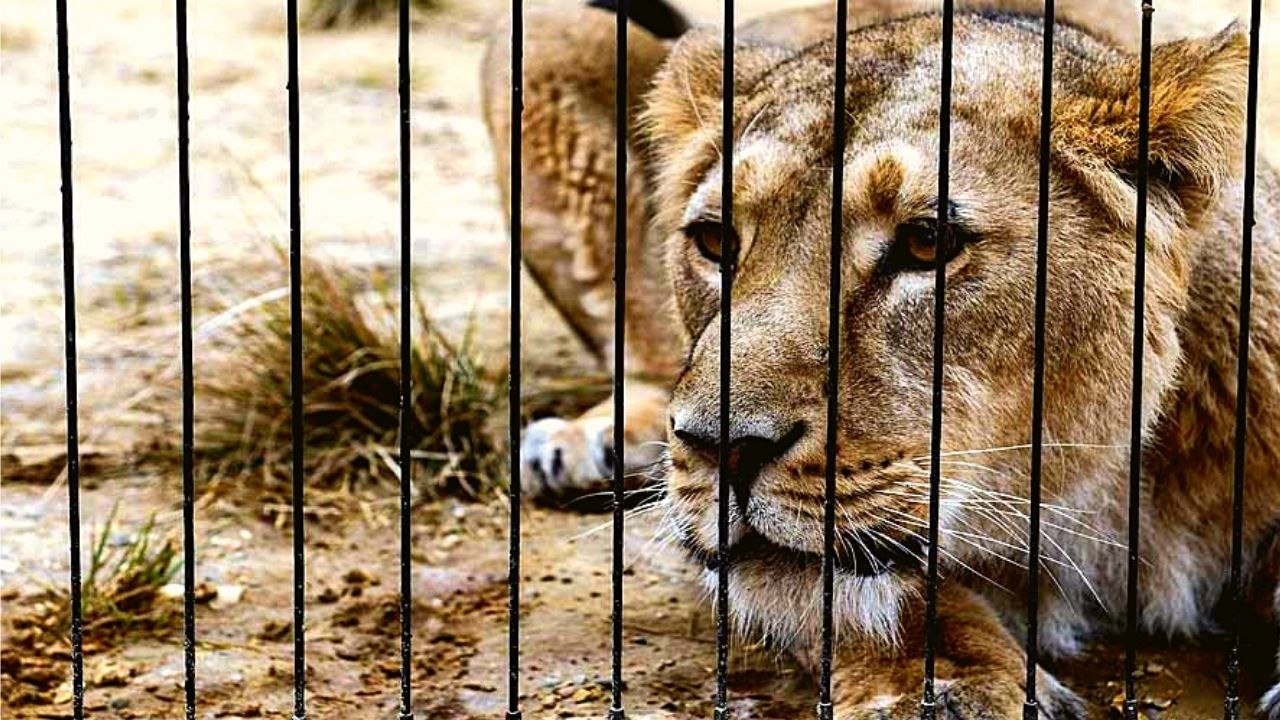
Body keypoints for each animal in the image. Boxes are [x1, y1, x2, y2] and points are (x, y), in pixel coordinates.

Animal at [481, 0, 1280, 716]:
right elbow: (883, 602)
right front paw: (952, 692)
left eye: (927, 242)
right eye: (714, 240)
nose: (720, 448)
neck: (1094, 498)